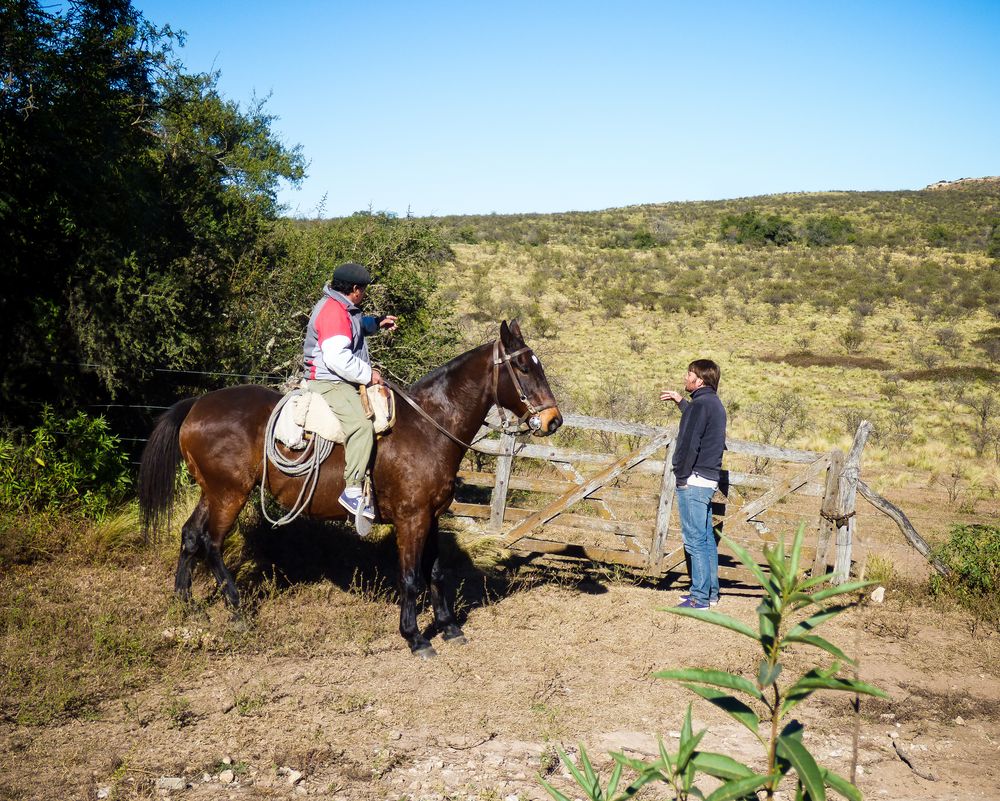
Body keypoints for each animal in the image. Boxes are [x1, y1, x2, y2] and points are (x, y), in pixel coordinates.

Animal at [139, 318, 564, 656]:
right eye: (523, 366)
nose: (554, 421)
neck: (429, 426)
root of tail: (196, 405)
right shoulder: (411, 519)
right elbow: (411, 577)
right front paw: (414, 637)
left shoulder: (431, 516)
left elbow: (436, 572)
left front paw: (448, 626)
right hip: (230, 494)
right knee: (211, 544)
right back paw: (236, 607)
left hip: (211, 492)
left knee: (190, 536)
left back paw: (185, 602)